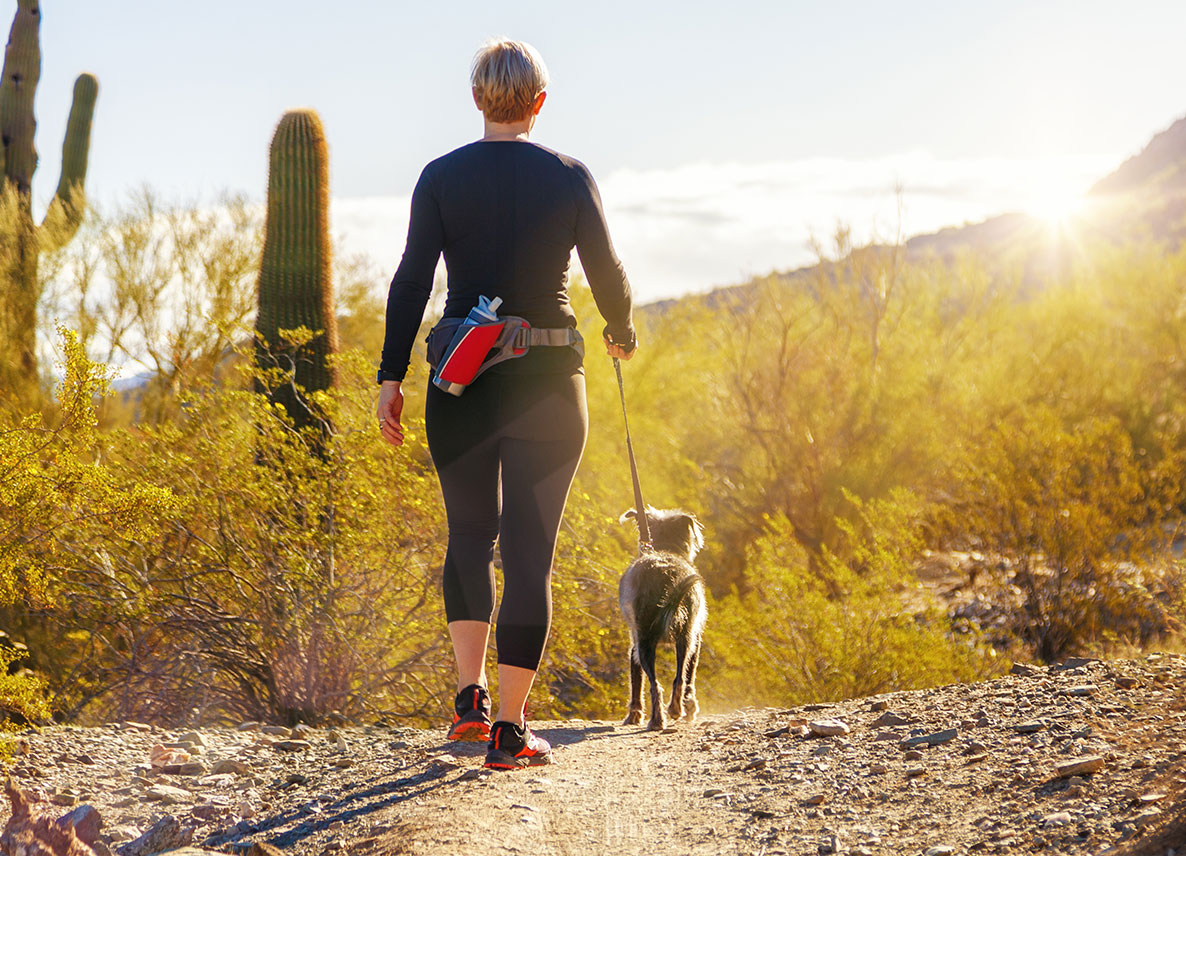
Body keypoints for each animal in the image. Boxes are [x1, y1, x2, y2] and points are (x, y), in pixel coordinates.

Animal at [616, 507, 706, 725]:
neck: (664, 548)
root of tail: (667, 575)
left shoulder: (634, 646)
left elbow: (636, 680)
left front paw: (634, 714)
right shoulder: (695, 640)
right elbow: (689, 676)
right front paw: (690, 708)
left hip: (648, 641)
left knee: (657, 683)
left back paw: (659, 719)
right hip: (684, 638)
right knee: (679, 678)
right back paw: (672, 711)